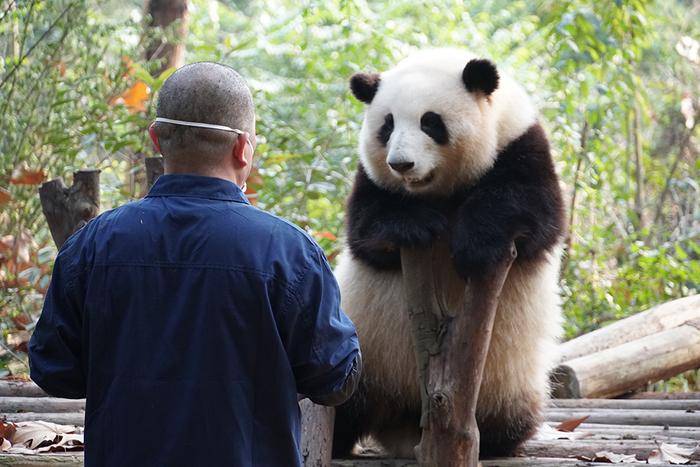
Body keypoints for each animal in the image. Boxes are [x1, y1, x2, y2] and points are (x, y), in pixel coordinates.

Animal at [330, 49, 568, 458]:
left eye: (430, 122)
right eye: (387, 126)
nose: (401, 164)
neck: (439, 192)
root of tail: (406, 420)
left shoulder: (520, 146)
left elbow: (533, 213)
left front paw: (474, 244)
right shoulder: (370, 180)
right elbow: (366, 231)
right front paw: (418, 224)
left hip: (509, 382)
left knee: (511, 417)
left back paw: (494, 442)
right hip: (365, 356)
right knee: (344, 404)